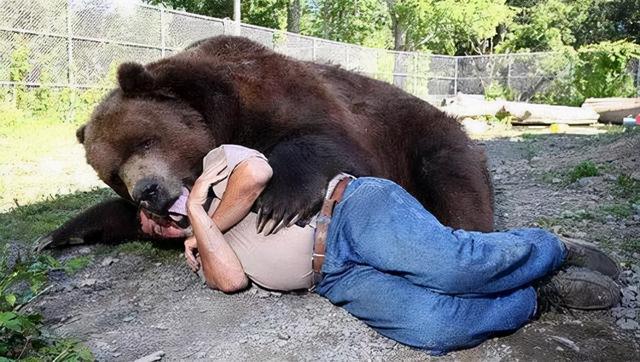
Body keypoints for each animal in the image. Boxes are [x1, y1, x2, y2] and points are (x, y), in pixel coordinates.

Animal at [38, 35, 496, 250]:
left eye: (145, 140)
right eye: (113, 173)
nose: (148, 192)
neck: (220, 117)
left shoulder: (281, 94)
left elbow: (326, 141)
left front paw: (276, 205)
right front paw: (58, 234)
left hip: (426, 135)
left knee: (454, 181)